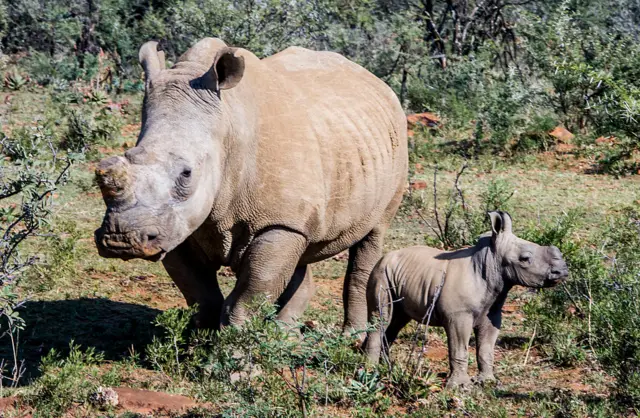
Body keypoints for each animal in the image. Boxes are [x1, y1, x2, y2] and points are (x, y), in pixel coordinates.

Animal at [93, 37, 408, 334]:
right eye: (124, 159)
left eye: (186, 173)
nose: (120, 239)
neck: (227, 126)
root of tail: (376, 81)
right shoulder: (175, 226)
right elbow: (200, 294)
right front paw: (199, 343)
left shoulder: (278, 222)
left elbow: (251, 293)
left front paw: (233, 349)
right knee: (302, 251)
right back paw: (286, 336)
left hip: (395, 144)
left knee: (372, 237)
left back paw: (351, 339)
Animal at [364, 212, 568, 388]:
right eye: (525, 259)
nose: (562, 271)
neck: (490, 261)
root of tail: (384, 257)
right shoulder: (458, 316)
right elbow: (459, 349)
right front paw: (461, 386)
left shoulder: (492, 312)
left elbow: (486, 349)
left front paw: (488, 381)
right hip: (380, 272)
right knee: (381, 317)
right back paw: (371, 372)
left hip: (397, 273)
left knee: (397, 320)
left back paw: (385, 368)